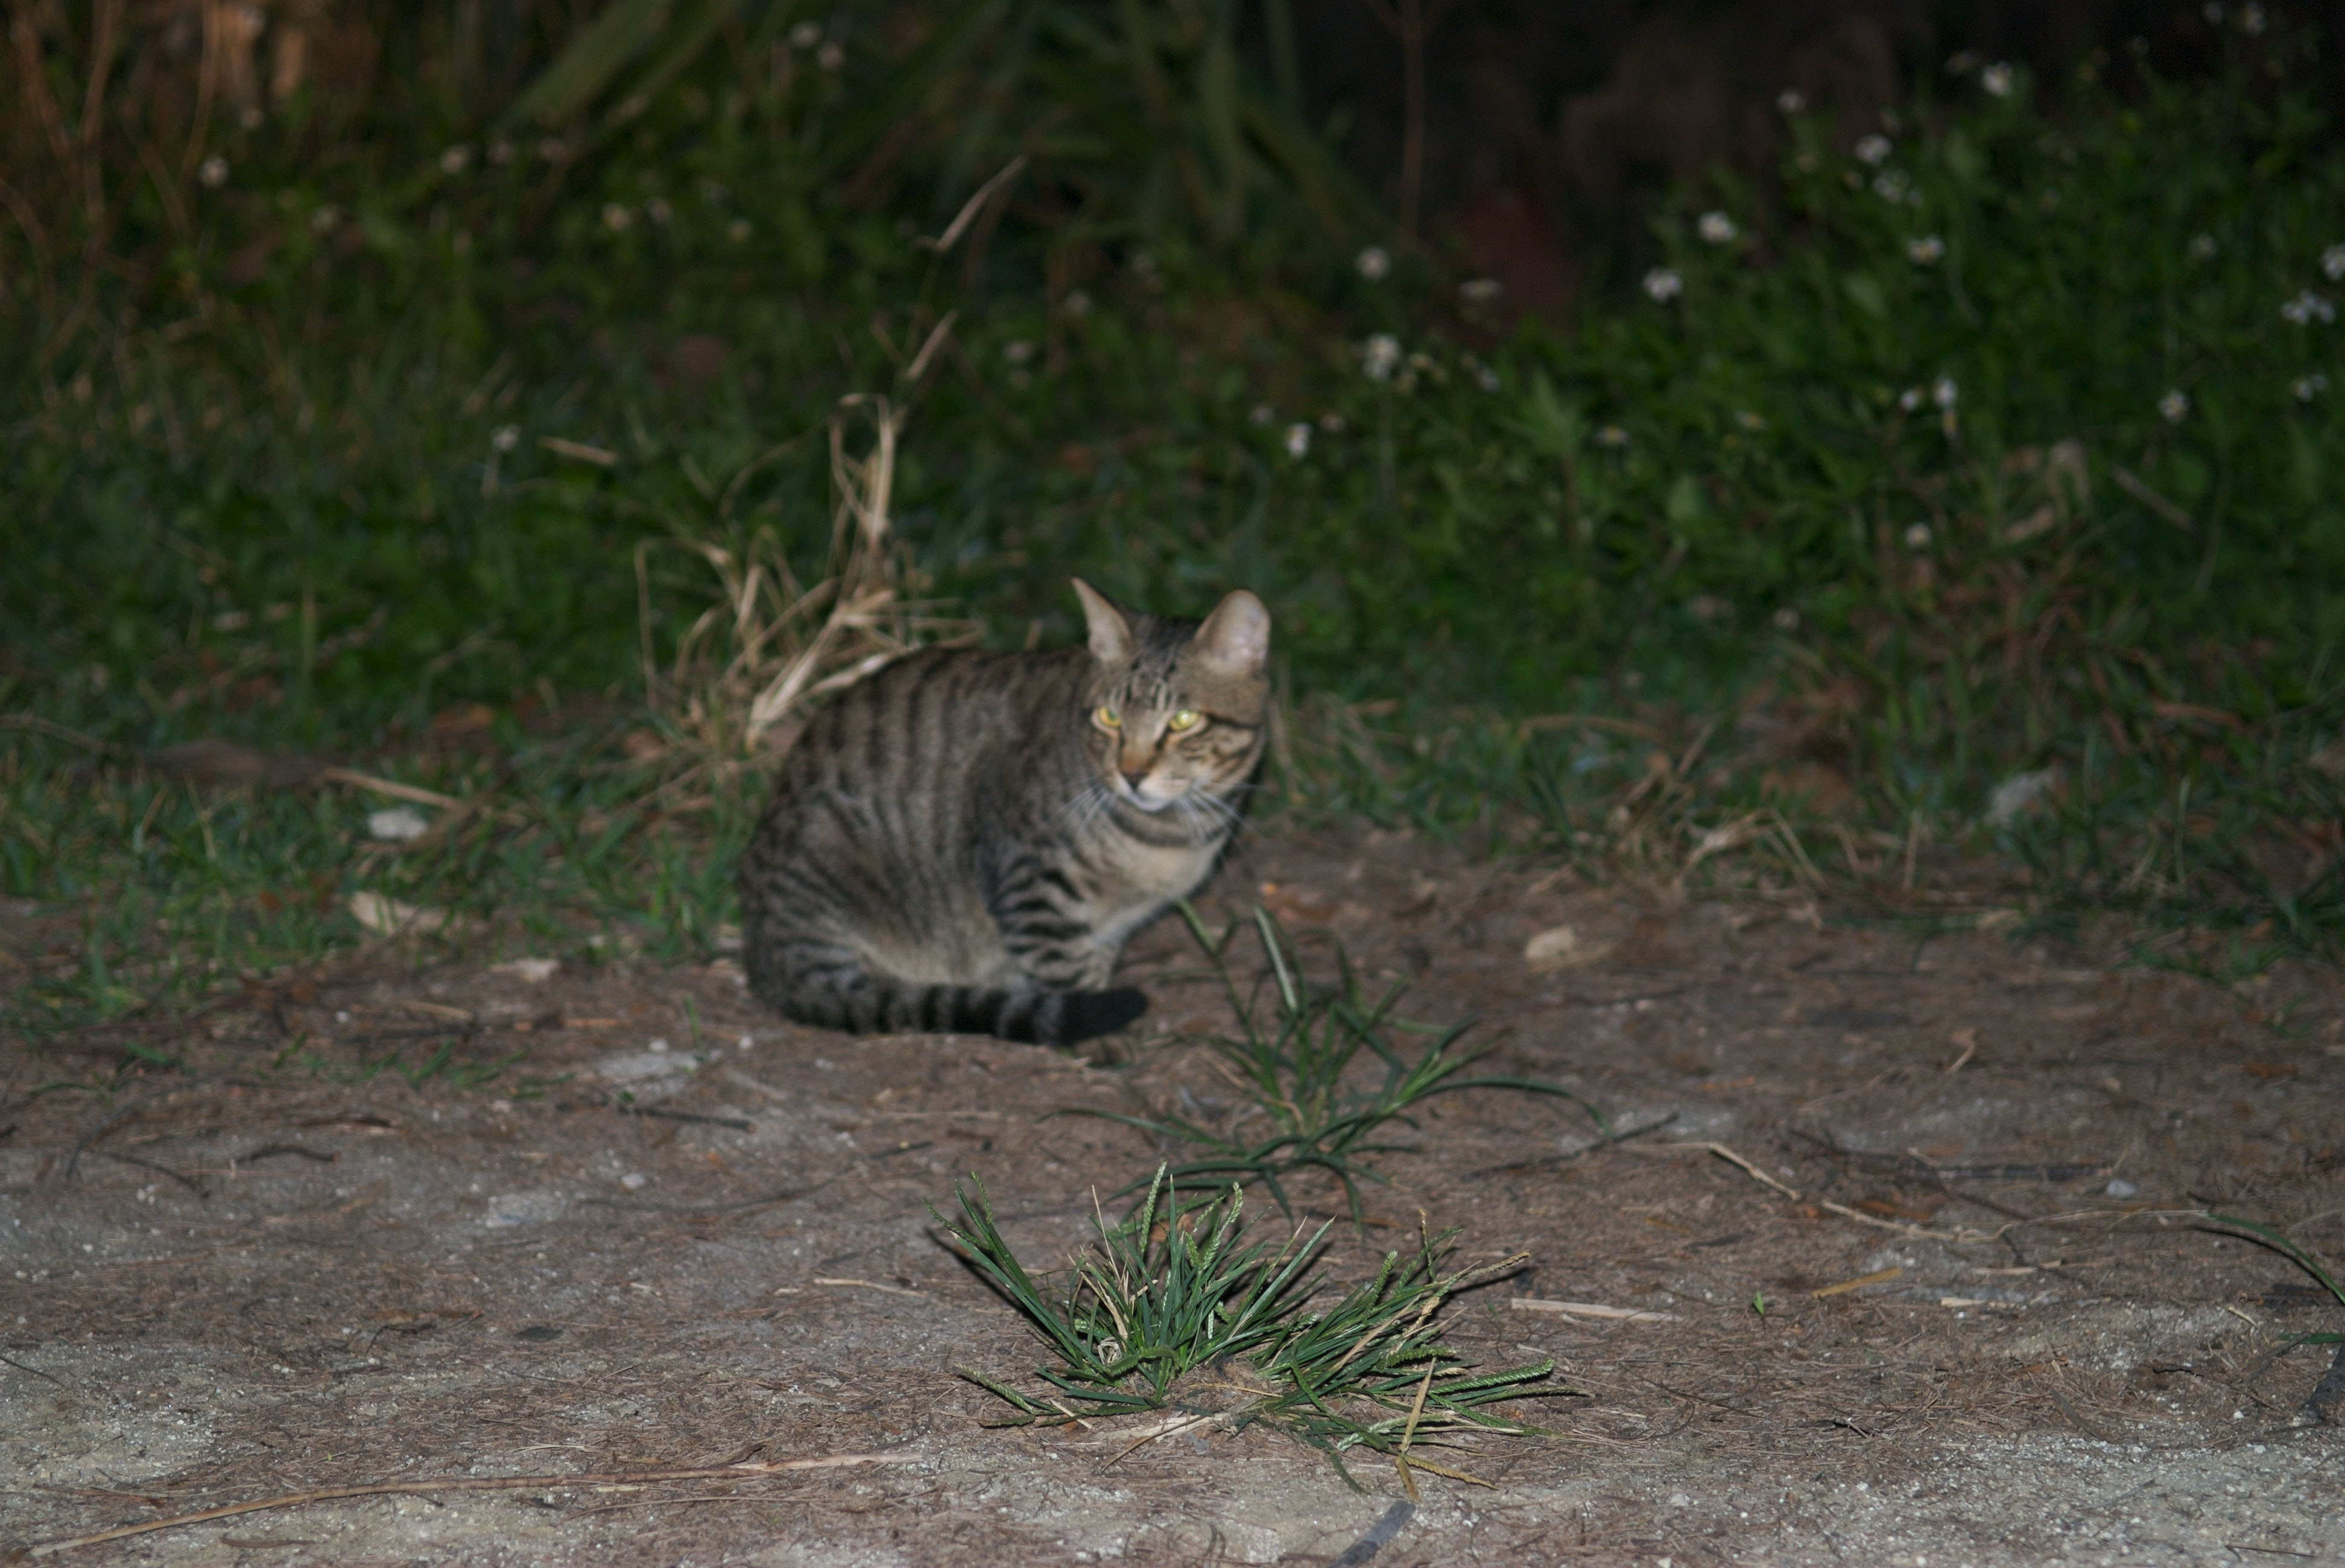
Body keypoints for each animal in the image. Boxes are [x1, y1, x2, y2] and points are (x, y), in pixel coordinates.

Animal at [741, 574, 1276, 1040]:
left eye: (1183, 720)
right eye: (1110, 717)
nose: (1133, 773)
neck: (1168, 836)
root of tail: (765, 960)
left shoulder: (1110, 925)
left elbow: (1094, 964)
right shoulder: (1031, 882)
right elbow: (1066, 972)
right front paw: (1100, 1038)